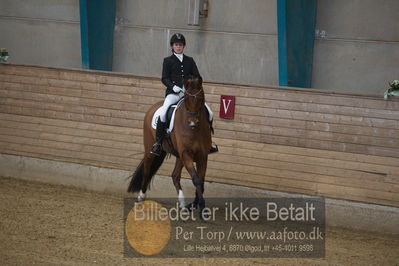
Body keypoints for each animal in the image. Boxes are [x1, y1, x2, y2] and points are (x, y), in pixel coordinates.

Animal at [128, 76, 212, 218]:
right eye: (187, 99)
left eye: (200, 98)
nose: (192, 123)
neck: (195, 130)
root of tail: (154, 107)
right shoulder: (186, 154)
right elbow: (196, 180)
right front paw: (201, 208)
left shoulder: (202, 156)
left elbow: (201, 182)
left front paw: (196, 206)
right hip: (151, 149)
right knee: (147, 169)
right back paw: (141, 196)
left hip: (179, 156)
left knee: (175, 176)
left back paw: (183, 204)